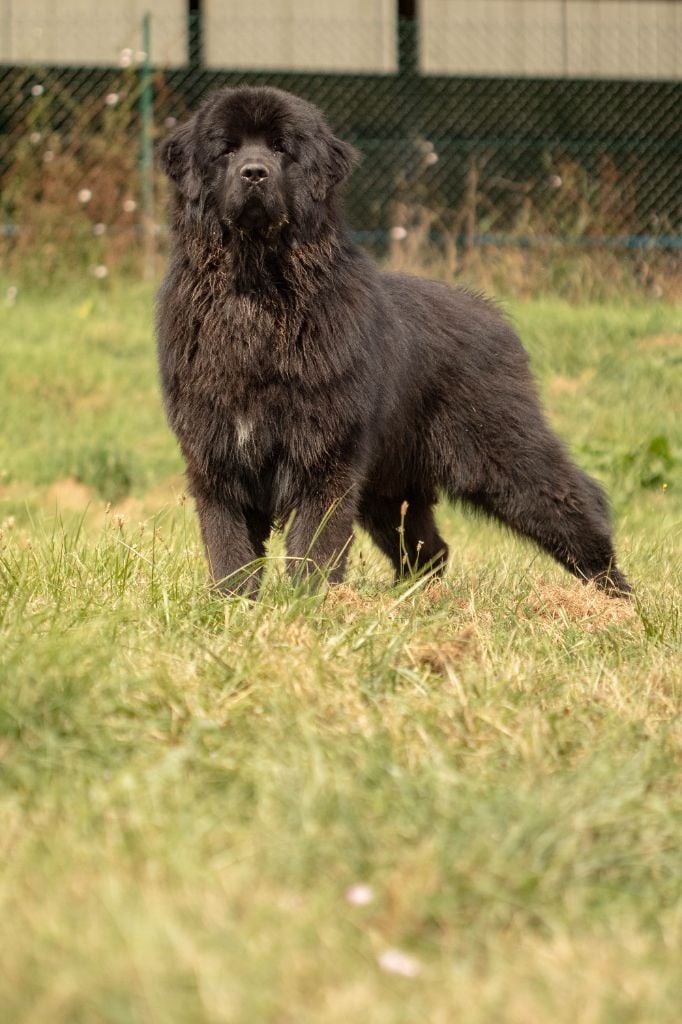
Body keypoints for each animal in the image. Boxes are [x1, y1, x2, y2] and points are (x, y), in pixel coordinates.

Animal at [156, 86, 630, 597]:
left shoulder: (327, 455)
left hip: (505, 452)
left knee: (576, 505)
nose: (254, 172)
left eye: (282, 149)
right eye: (226, 149)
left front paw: (308, 601)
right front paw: (233, 603)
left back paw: (617, 598)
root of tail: (491, 312)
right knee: (428, 550)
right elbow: (229, 547)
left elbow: (315, 543)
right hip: (388, 486)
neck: (256, 292)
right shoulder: (216, 454)